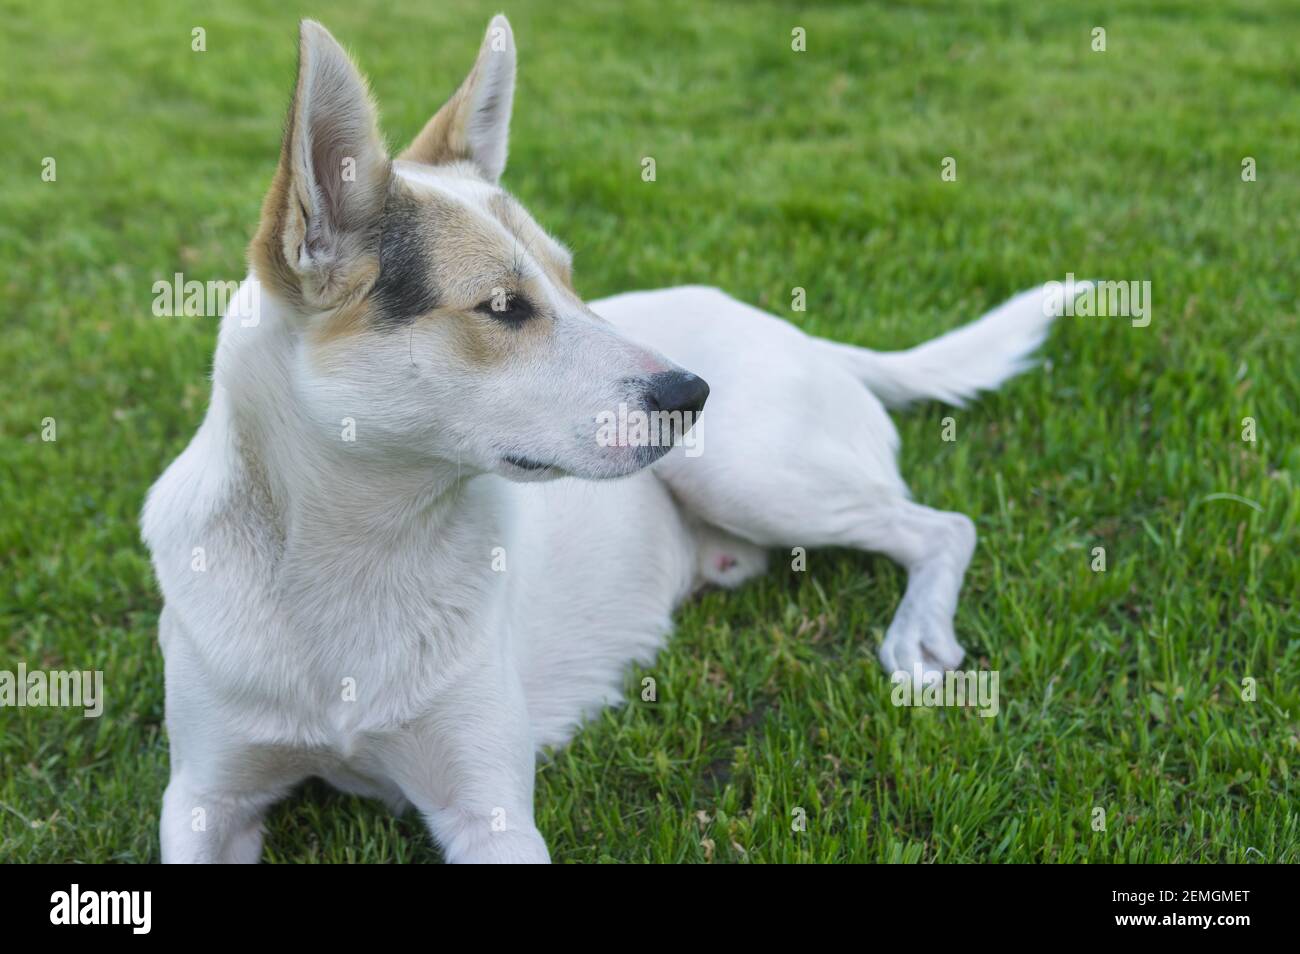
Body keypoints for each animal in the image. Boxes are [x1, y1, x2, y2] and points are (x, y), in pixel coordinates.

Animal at [144, 14, 1066, 868]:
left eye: (569, 278)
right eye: (503, 307)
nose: (694, 396)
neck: (357, 556)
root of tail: (805, 335)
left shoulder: (489, 812)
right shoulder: (203, 798)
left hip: (749, 472)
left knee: (942, 527)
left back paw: (917, 631)